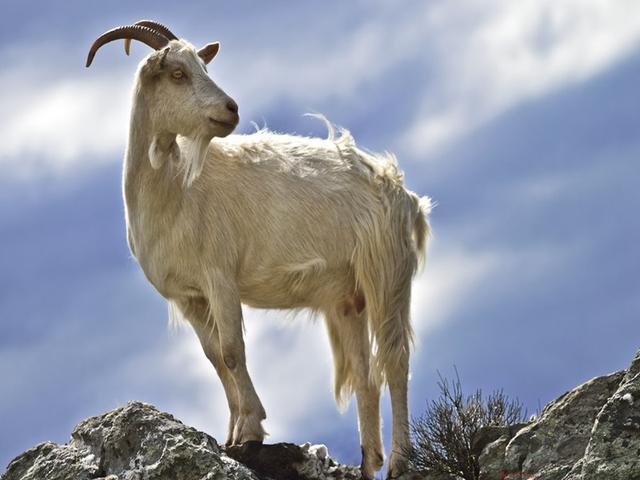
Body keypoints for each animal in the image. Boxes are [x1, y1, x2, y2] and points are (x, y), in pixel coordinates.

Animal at [86, 20, 431, 480]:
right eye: (177, 73)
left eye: (203, 66)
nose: (230, 109)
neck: (175, 190)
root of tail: (402, 193)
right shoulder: (190, 296)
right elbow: (215, 357)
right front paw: (233, 433)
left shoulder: (220, 276)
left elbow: (234, 352)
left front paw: (251, 430)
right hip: (348, 298)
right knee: (364, 375)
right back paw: (367, 461)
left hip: (386, 273)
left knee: (394, 360)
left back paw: (398, 461)